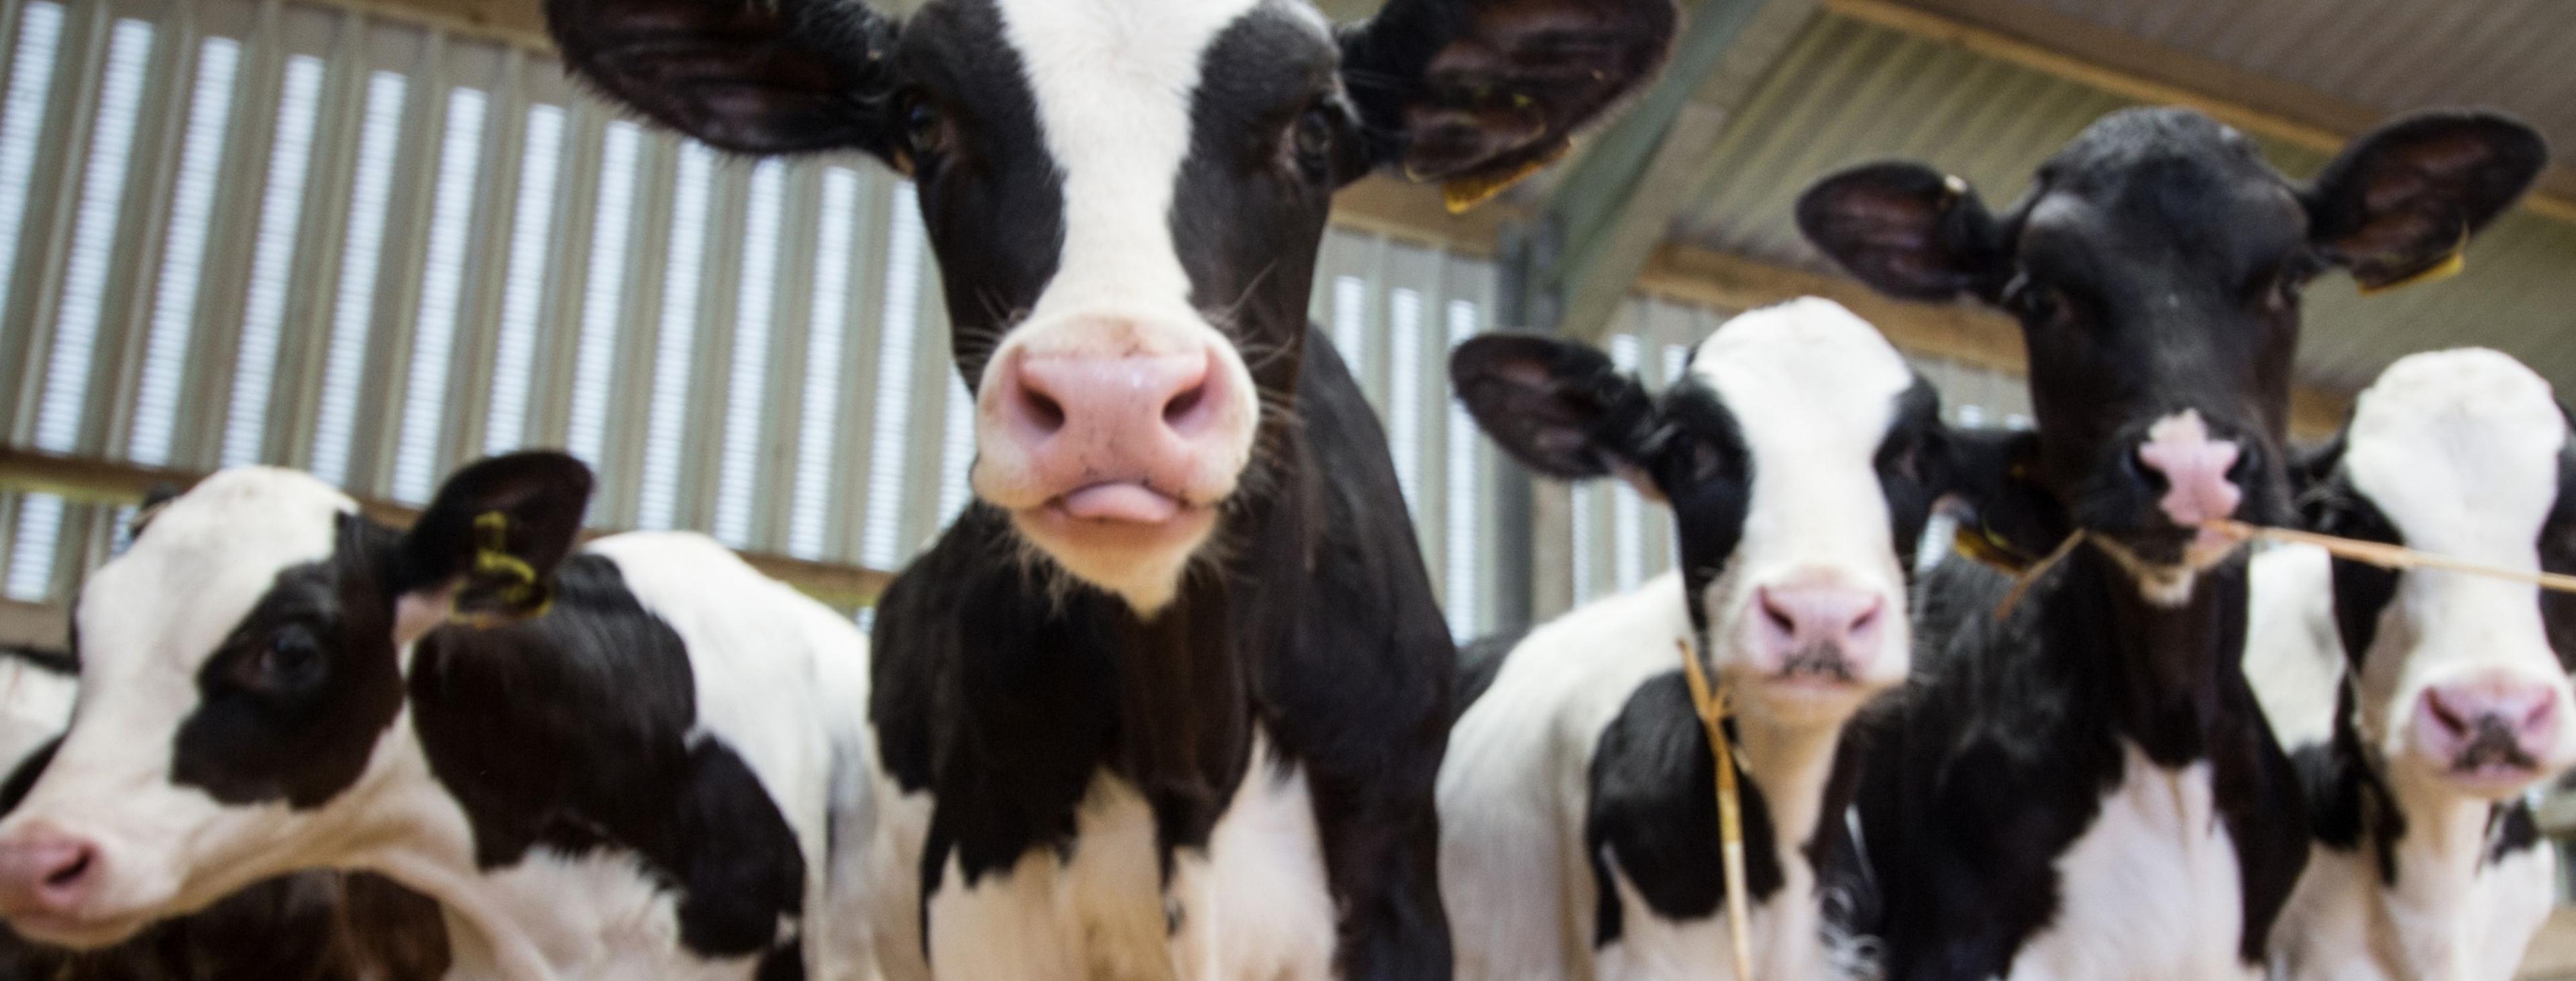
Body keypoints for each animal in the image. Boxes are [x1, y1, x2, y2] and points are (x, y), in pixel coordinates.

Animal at [543, 0, 1680, 976]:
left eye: (1315, 125)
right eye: (922, 117)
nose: (1111, 394)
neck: (1190, 744)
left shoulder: (1395, 883)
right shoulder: (979, 879)